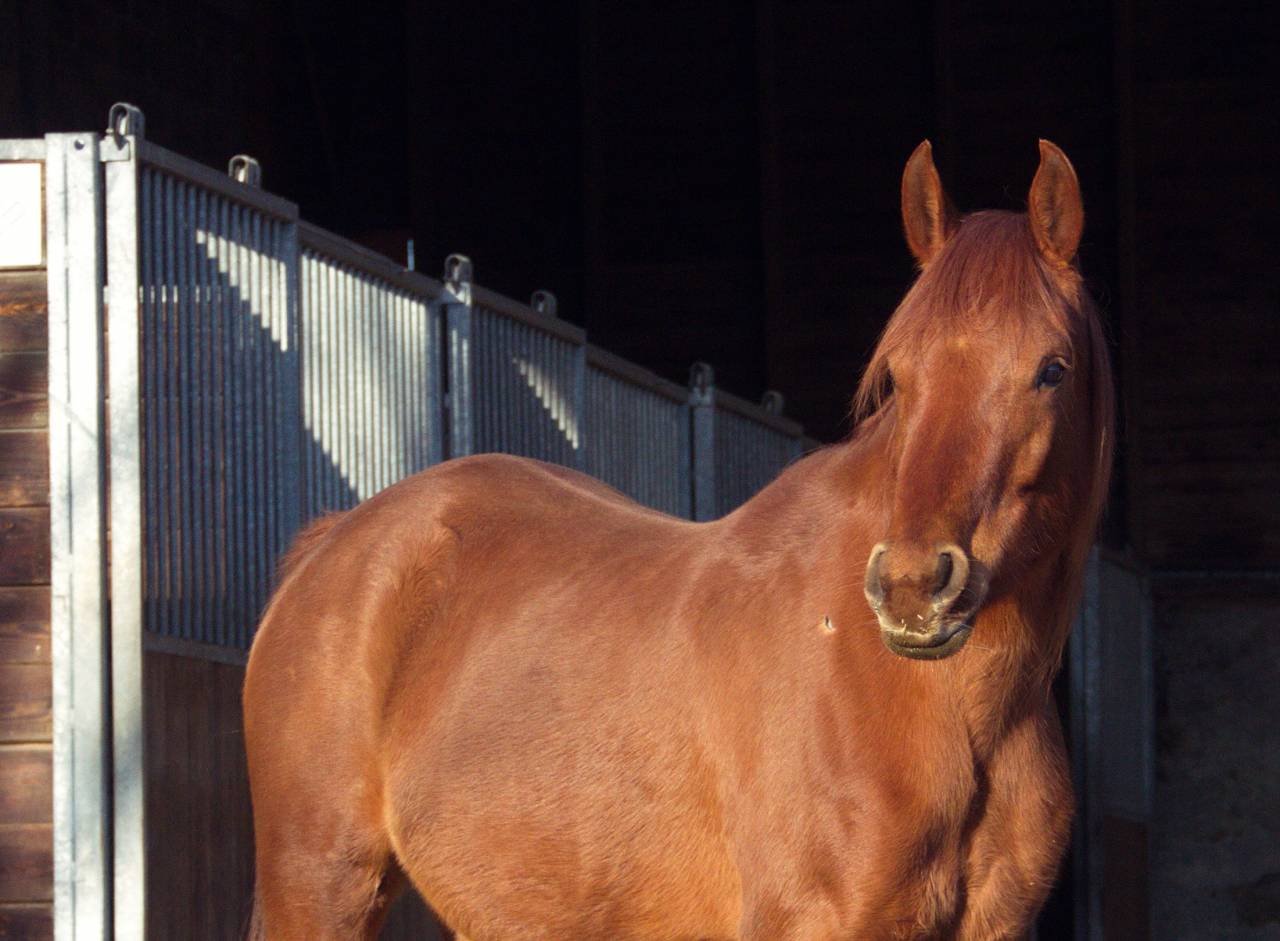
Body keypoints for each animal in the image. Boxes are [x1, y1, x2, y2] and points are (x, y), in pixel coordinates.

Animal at [243, 138, 1112, 940]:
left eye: (1053, 369)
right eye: (897, 374)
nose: (911, 587)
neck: (949, 705)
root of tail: (334, 544)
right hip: (320, 887)